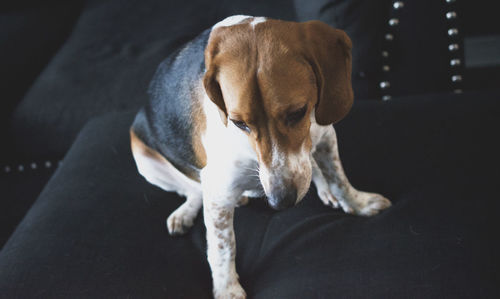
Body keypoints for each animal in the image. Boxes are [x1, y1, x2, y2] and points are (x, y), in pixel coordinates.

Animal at [130, 15, 390, 299]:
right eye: (238, 123)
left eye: (297, 113)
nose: (281, 202)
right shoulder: (218, 192)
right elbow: (223, 247)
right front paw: (227, 288)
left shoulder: (325, 137)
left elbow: (338, 178)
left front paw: (358, 203)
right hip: (143, 157)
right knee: (192, 190)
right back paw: (186, 212)